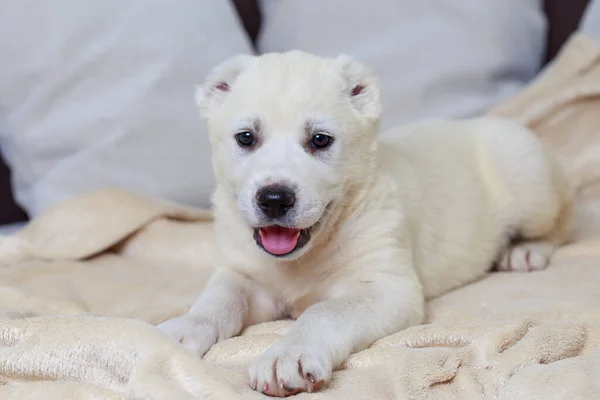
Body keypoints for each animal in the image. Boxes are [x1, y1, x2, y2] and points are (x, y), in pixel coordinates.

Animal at [158, 50, 572, 396]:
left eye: (320, 140)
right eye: (246, 137)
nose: (274, 199)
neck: (305, 256)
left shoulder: (389, 287)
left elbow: (325, 312)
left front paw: (288, 354)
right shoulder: (242, 274)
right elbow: (217, 300)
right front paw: (182, 328)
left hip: (529, 178)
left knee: (562, 222)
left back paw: (525, 251)